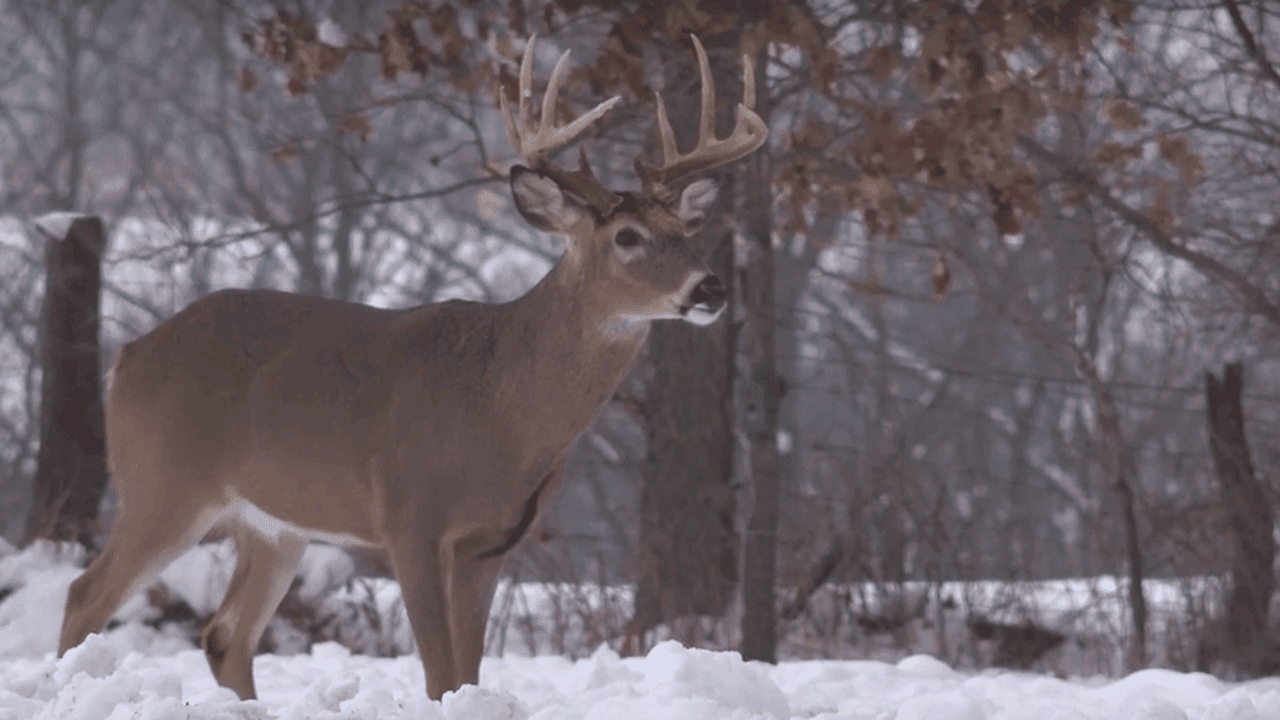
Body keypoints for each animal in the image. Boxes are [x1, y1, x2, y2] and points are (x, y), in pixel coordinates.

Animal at [55, 35, 762, 702]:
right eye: (627, 237)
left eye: (685, 230)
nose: (710, 287)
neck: (504, 406)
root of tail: (130, 354)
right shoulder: (409, 516)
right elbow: (441, 674)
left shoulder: (493, 543)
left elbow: (468, 671)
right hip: (163, 482)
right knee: (86, 595)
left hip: (273, 526)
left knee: (226, 634)